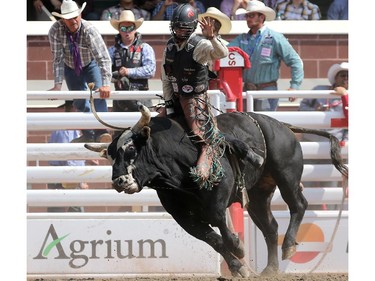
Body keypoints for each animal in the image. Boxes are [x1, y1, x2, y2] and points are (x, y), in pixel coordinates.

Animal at [85, 104, 350, 276]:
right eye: (111, 154)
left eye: (131, 149)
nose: (119, 181)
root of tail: (283, 125)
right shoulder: (182, 216)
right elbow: (212, 239)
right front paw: (238, 266)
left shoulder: (220, 193)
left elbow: (219, 222)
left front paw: (238, 246)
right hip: (258, 194)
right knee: (270, 226)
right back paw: (270, 269)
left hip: (287, 176)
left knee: (298, 205)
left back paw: (289, 246)